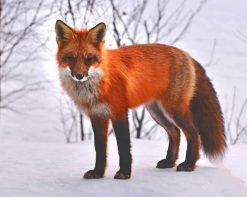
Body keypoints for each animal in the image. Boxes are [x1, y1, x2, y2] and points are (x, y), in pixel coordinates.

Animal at [55, 20, 227, 180]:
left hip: (174, 110)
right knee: (175, 133)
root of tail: (186, 54)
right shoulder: (97, 116)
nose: (79, 76)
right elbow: (100, 149)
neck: (99, 82)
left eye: (89, 59)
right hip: (157, 112)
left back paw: (189, 164)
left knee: (193, 133)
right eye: (70, 58)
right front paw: (98, 173)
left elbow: (123, 147)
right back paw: (169, 162)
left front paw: (124, 173)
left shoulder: (119, 112)